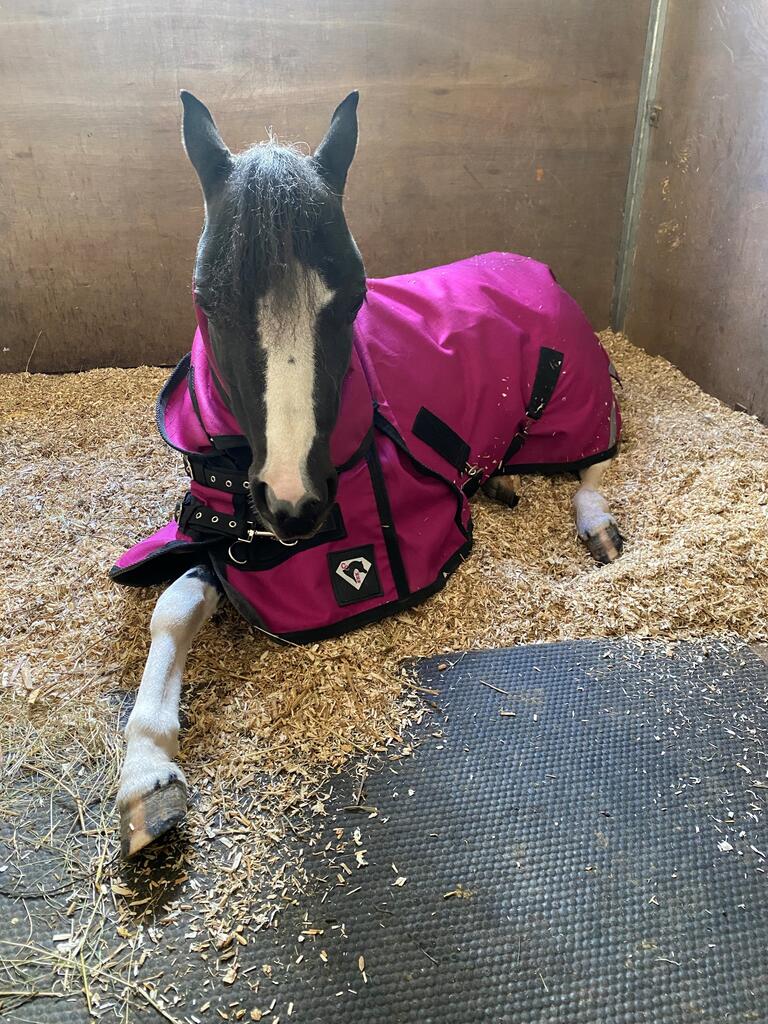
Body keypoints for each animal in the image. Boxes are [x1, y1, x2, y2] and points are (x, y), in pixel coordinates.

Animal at [115, 91, 624, 856]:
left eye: (355, 296)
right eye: (209, 300)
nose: (294, 504)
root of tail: (538, 270)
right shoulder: (226, 539)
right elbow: (174, 606)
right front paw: (147, 775)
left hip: (576, 399)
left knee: (595, 456)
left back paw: (597, 524)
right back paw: (498, 481)